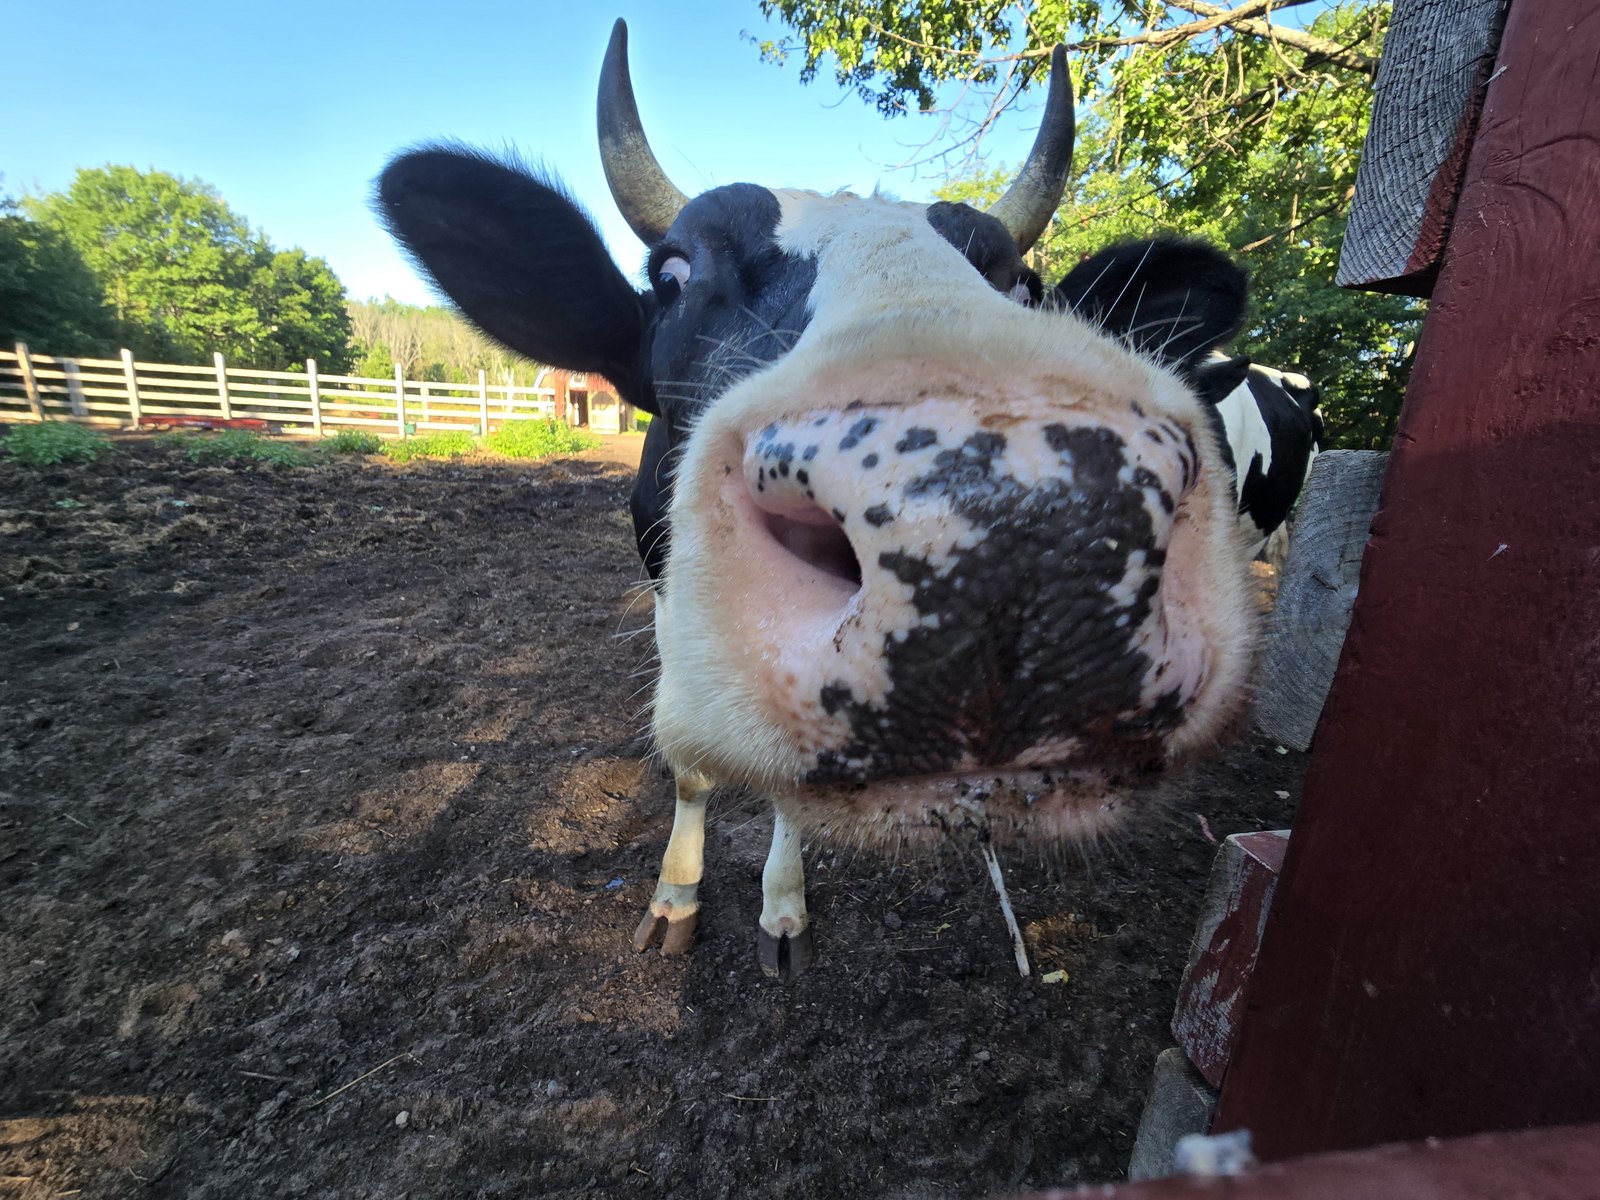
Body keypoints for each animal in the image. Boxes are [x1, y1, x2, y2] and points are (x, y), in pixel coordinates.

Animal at [378, 20, 1322, 979]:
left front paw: (782, 907)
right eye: (674, 275)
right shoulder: (662, 591)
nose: (1017, 538)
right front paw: (675, 895)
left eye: (1022, 283)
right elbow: (690, 768)